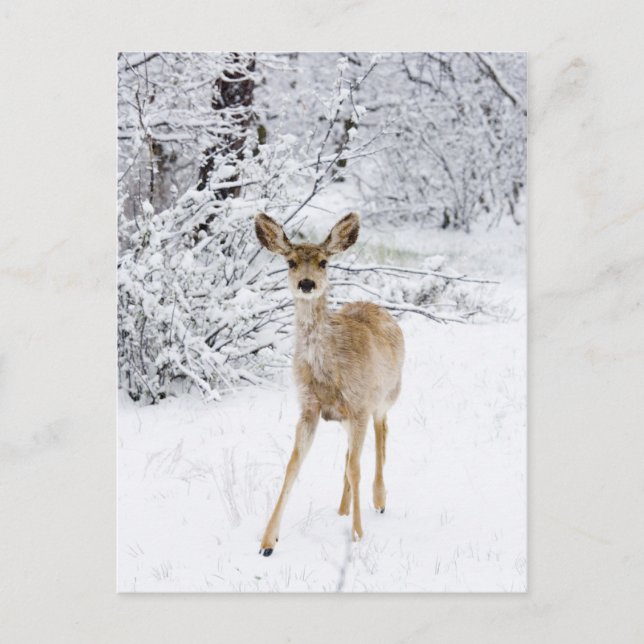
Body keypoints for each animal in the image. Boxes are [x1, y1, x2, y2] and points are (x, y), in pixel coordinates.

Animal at [254, 211, 404, 556]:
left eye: (323, 262)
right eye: (290, 262)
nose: (307, 284)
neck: (327, 370)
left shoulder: (360, 405)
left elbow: (356, 468)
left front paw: (358, 535)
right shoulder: (309, 408)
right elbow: (292, 466)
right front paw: (268, 542)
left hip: (386, 396)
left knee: (382, 434)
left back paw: (379, 499)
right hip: (348, 417)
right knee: (350, 454)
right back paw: (342, 509)